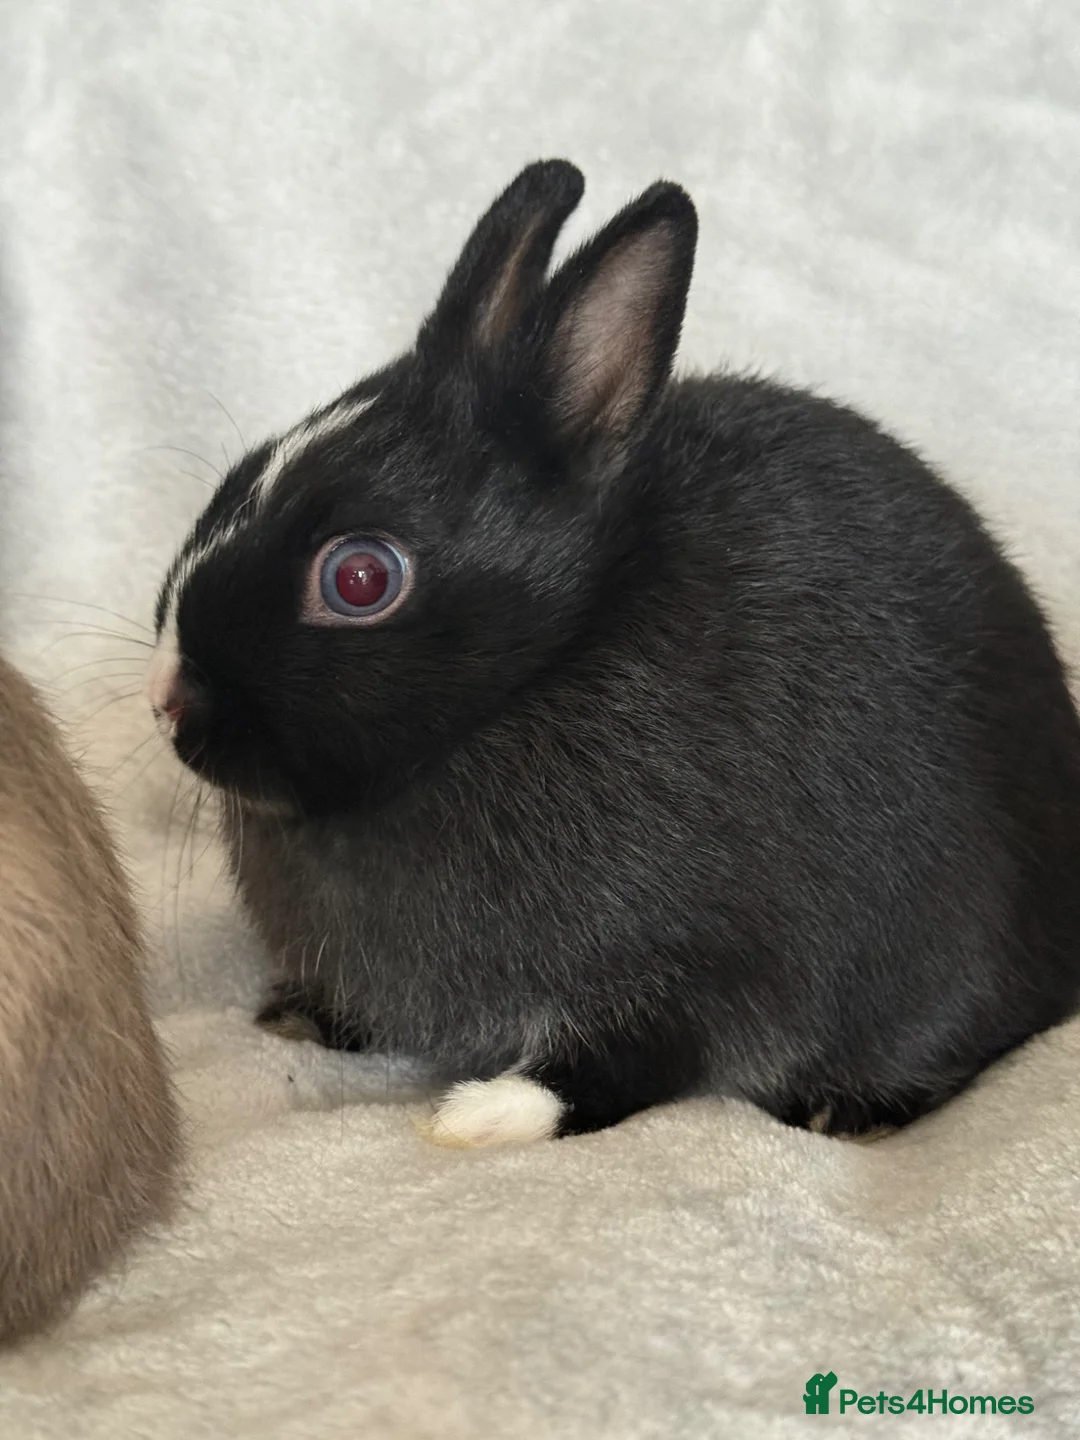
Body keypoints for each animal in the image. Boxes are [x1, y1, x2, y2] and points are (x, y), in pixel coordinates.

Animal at [146, 159, 1080, 1149]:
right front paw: (298, 1015)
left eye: (360, 578)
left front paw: (477, 1118)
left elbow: (628, 1063)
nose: (167, 698)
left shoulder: (713, 964)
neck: (530, 681)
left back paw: (845, 1111)